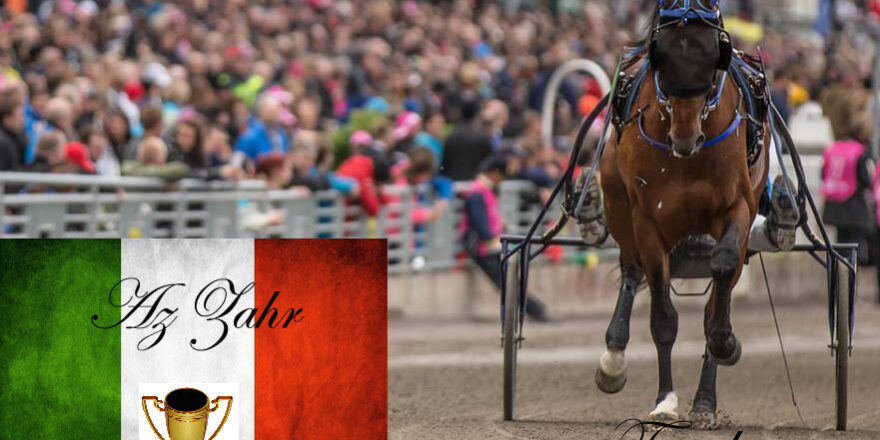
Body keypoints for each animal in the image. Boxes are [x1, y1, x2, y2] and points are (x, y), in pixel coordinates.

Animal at [593, 0, 771, 428]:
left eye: (713, 54)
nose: (686, 137)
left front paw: (725, 343)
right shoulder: (647, 222)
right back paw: (614, 359)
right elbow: (662, 317)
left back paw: (705, 399)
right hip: (620, 212)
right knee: (631, 271)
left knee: (717, 290)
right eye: (664, 54)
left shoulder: (739, 206)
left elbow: (721, 273)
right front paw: (665, 401)